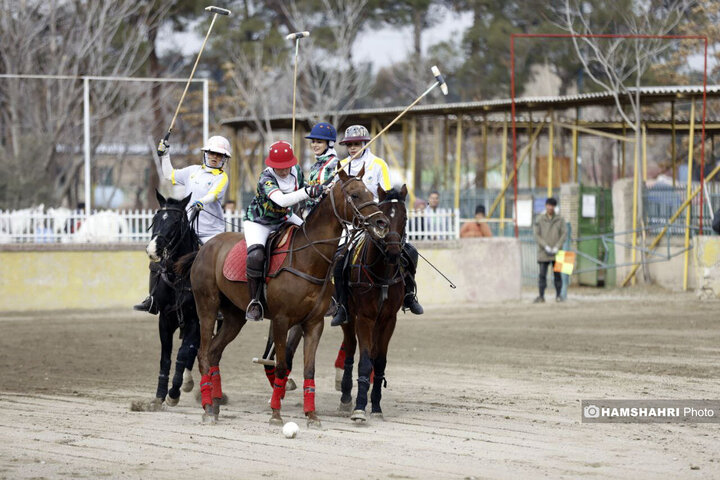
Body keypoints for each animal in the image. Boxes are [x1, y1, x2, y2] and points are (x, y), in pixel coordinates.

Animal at [143, 189, 202, 406]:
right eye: (155, 218)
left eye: (176, 222)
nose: (153, 250)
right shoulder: (165, 320)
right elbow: (166, 357)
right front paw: (160, 395)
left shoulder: (195, 322)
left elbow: (183, 355)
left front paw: (174, 392)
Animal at [178, 167, 390, 426]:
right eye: (355, 195)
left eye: (370, 191)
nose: (382, 223)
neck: (307, 258)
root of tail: (204, 248)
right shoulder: (281, 320)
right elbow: (280, 365)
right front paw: (276, 414)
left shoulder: (313, 323)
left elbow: (309, 369)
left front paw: (311, 415)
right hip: (207, 306)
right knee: (203, 354)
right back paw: (208, 408)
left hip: (234, 316)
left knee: (214, 352)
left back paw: (215, 405)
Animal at [336, 186, 408, 422]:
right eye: (383, 215)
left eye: (405, 217)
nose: (393, 252)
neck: (382, 274)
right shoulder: (365, 318)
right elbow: (365, 361)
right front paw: (359, 406)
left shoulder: (388, 320)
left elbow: (379, 361)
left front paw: (375, 405)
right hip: (348, 316)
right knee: (350, 350)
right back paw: (346, 397)